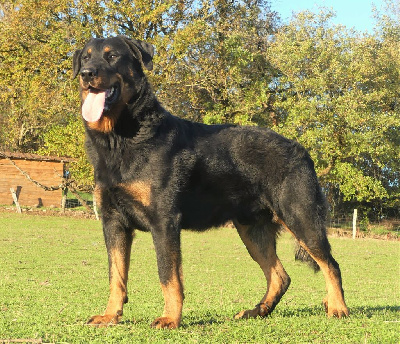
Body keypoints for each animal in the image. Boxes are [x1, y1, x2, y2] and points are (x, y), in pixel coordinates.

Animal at [73, 36, 348, 330]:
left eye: (112, 56)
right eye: (86, 57)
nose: (86, 73)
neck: (121, 137)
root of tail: (301, 149)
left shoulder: (164, 222)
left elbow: (168, 275)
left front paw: (170, 318)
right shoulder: (113, 222)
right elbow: (116, 276)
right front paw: (110, 315)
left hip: (301, 218)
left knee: (331, 265)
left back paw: (338, 308)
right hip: (252, 230)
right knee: (280, 276)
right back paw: (257, 311)